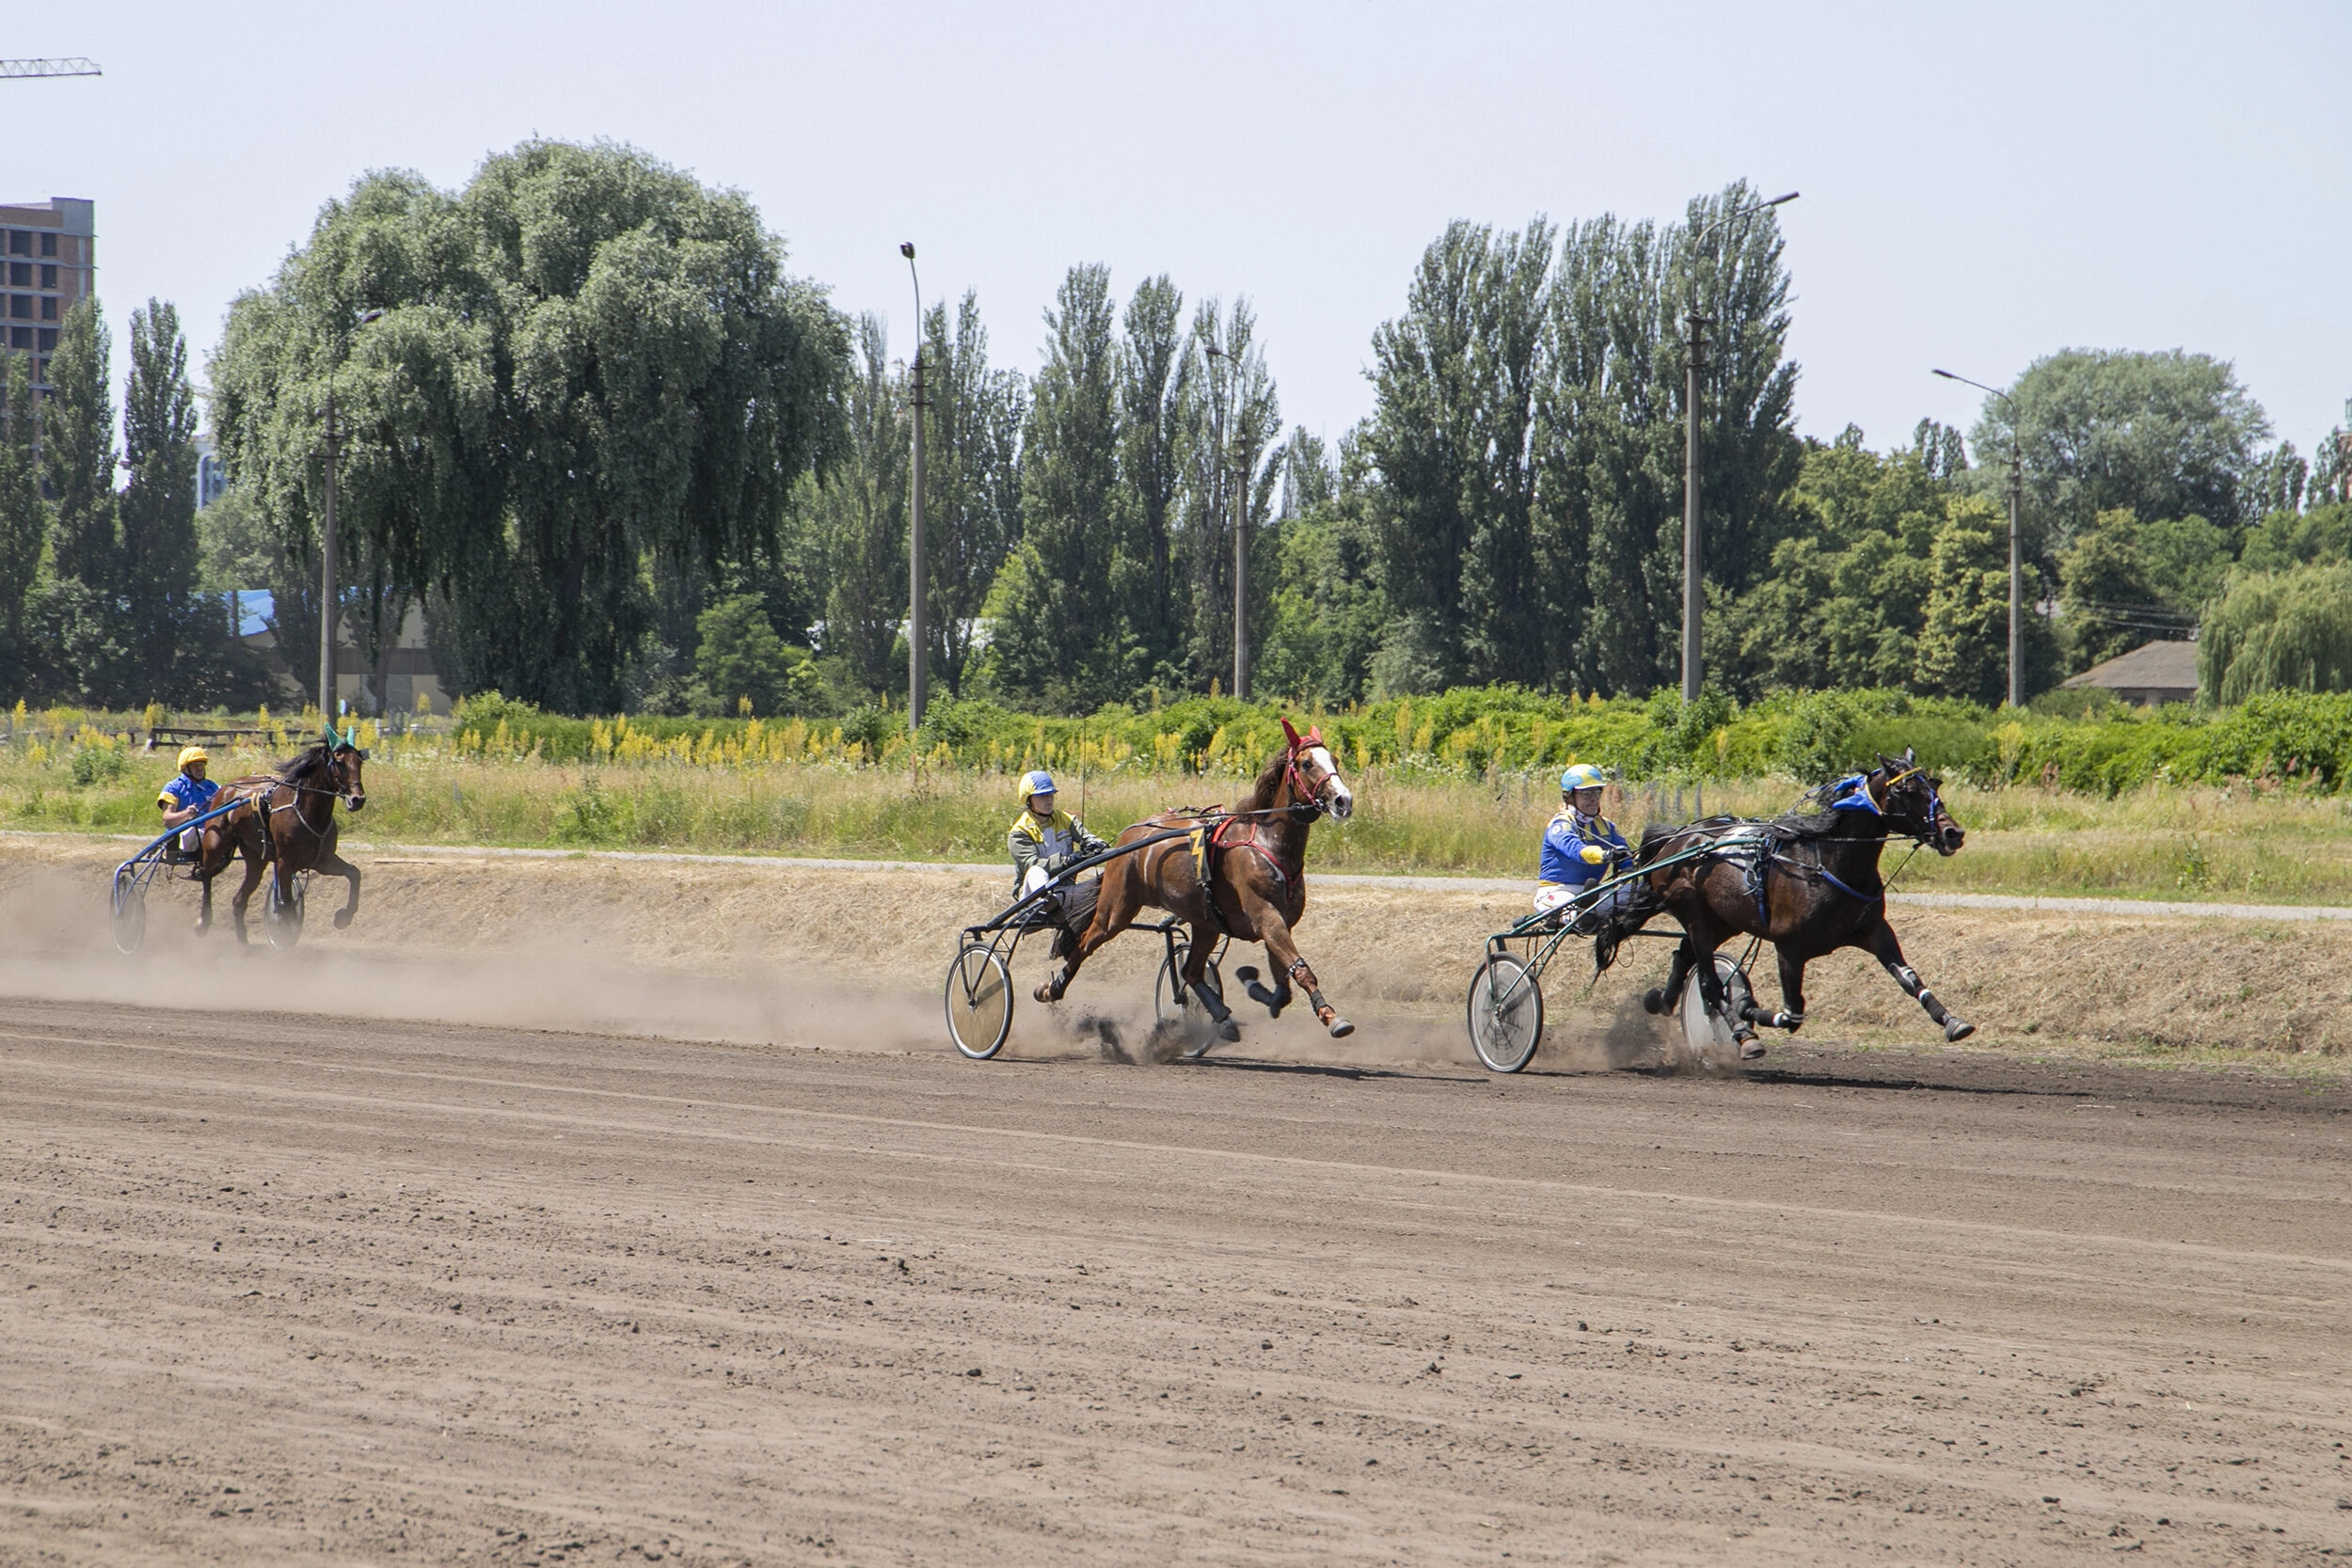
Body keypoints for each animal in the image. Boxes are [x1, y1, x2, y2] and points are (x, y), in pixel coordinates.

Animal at [1044, 719, 1364, 1043]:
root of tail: (1130, 833)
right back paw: (1051, 989)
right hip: (1116, 910)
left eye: (1335, 760)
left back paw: (1222, 1017)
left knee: (1191, 972)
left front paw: (1258, 988)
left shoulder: (1279, 921)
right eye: (1306, 763)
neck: (1267, 842)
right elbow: (1299, 969)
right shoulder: (1266, 917)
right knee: (1084, 943)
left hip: (1205, 922)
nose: (1343, 801)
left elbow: (1283, 985)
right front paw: (1333, 1017)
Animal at [1637, 752, 1985, 1062]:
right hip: (1694, 912)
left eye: (1935, 785)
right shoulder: (1788, 946)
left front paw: (1952, 1021)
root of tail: (1678, 837)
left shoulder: (1874, 930)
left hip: (1722, 920)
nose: (1952, 833)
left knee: (1684, 954)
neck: (1830, 863)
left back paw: (1660, 1000)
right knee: (1709, 984)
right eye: (1908, 790)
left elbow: (1909, 978)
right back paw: (1743, 1034)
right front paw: (1744, 1006)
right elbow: (1792, 1014)